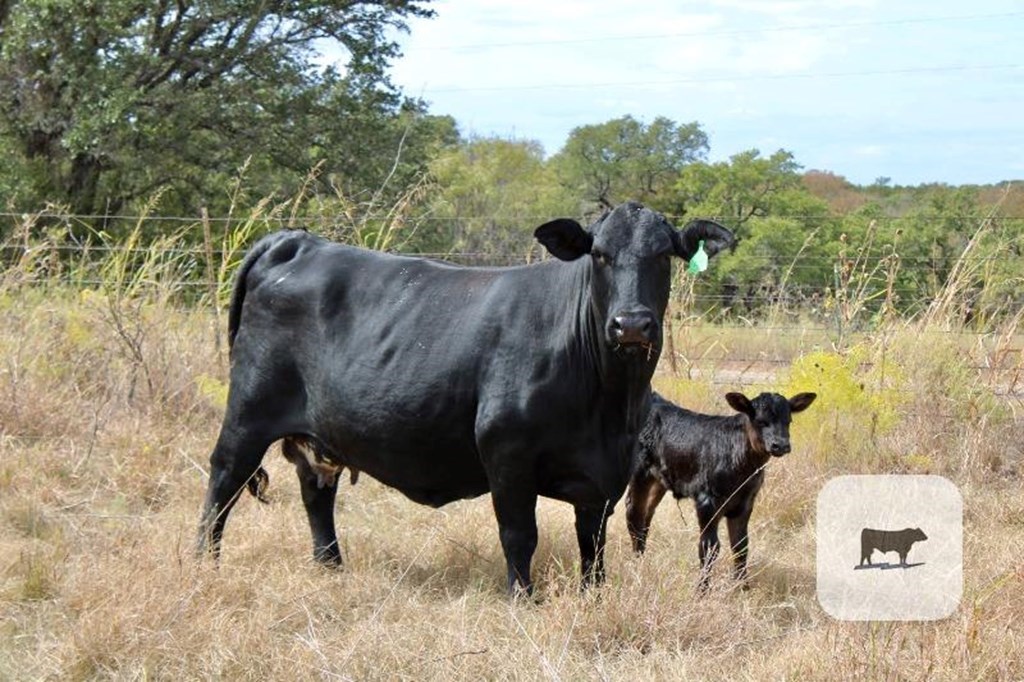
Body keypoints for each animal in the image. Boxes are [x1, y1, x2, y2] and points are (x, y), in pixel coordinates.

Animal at [193, 202, 737, 593]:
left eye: (663, 255)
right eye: (599, 254)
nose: (631, 324)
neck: (610, 401)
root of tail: (296, 240)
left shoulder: (606, 473)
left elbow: (593, 544)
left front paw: (594, 595)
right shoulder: (506, 452)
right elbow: (520, 535)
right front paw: (523, 599)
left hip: (319, 431)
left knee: (315, 490)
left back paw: (331, 568)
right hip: (248, 411)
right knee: (223, 482)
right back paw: (204, 565)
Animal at [622, 387, 815, 589]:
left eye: (788, 421)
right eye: (760, 421)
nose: (781, 445)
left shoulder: (745, 503)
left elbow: (741, 545)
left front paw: (743, 587)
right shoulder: (707, 501)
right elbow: (709, 547)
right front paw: (702, 589)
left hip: (658, 480)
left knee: (646, 515)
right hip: (639, 473)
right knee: (634, 513)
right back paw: (637, 564)